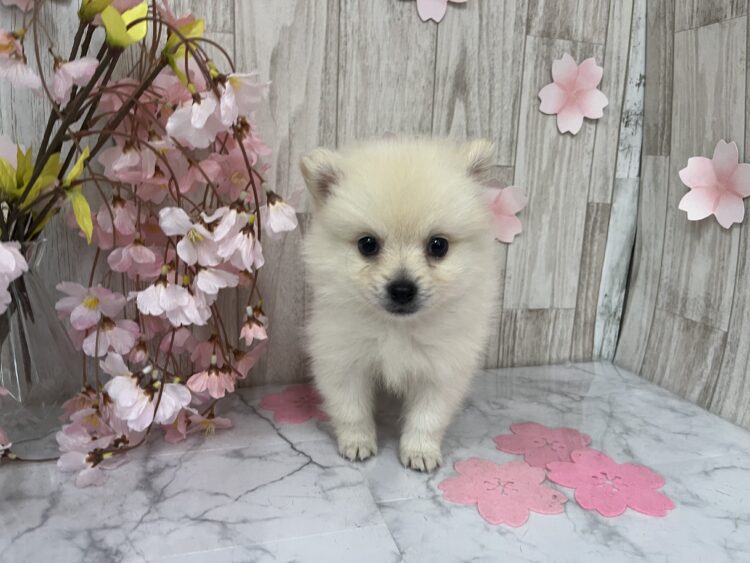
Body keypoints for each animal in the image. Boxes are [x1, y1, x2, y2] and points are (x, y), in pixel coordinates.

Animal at [300, 137, 499, 471]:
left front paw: (420, 451)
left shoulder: (441, 368)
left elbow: (427, 417)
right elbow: (351, 409)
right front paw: (357, 442)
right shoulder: (344, 359)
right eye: (367, 245)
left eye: (438, 246)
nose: (403, 289)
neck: (396, 328)